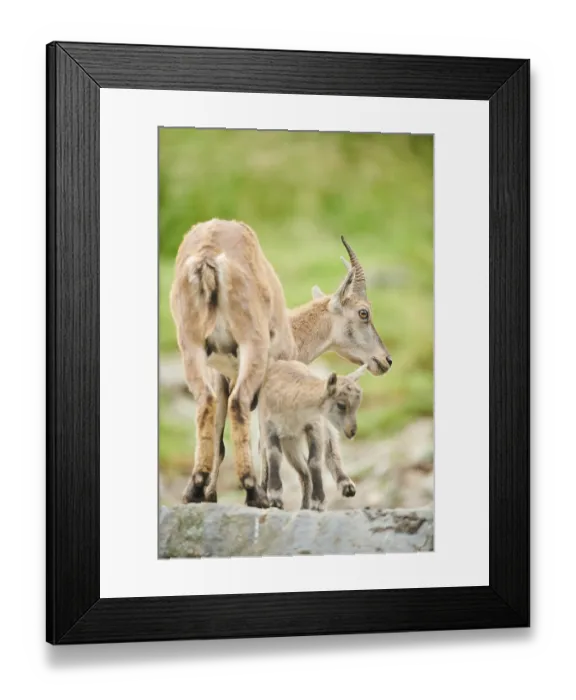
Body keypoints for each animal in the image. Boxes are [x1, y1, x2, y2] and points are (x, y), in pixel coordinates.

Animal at [169, 219, 297, 508]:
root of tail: (208, 259)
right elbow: (264, 437)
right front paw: (269, 495)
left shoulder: (219, 374)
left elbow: (219, 431)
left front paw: (209, 493)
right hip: (251, 343)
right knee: (238, 404)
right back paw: (252, 491)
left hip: (191, 346)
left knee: (206, 402)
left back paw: (195, 488)